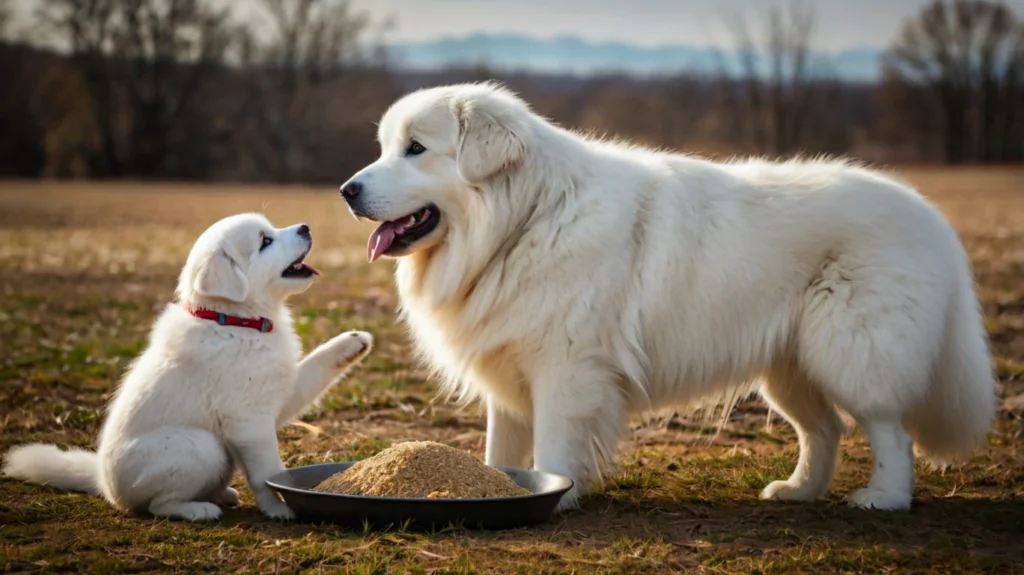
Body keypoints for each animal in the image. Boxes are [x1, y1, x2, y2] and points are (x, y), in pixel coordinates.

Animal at [4, 212, 372, 521]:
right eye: (265, 241)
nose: (305, 228)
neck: (236, 321)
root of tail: (103, 484)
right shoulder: (248, 420)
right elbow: (266, 472)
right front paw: (279, 508)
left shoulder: (280, 394)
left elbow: (315, 367)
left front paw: (354, 341)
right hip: (199, 445)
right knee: (158, 504)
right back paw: (199, 509)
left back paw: (221, 494)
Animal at [339, 81, 995, 509]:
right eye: (385, 147)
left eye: (416, 149)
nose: (347, 190)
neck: (524, 221)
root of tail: (930, 217)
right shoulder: (508, 368)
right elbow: (502, 452)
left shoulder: (568, 371)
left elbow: (553, 451)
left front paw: (554, 498)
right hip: (790, 366)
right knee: (824, 430)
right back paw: (798, 491)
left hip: (852, 351)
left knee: (889, 429)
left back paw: (883, 497)